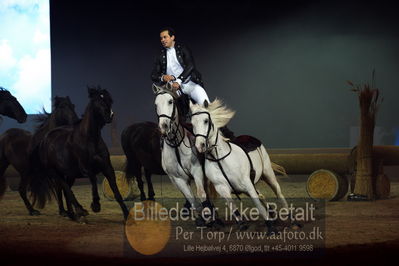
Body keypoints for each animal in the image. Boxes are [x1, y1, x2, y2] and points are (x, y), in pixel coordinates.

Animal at [30, 86, 130, 221]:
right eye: (97, 101)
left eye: (110, 100)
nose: (110, 115)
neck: (90, 139)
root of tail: (45, 139)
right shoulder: (86, 168)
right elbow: (93, 180)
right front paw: (95, 205)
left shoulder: (107, 168)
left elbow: (116, 191)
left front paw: (126, 214)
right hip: (54, 172)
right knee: (64, 188)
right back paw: (79, 210)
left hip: (70, 174)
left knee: (65, 189)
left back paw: (73, 214)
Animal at [189, 98, 290, 232]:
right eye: (192, 124)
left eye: (206, 121)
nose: (199, 145)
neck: (220, 159)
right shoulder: (222, 188)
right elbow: (233, 207)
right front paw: (242, 225)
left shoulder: (248, 184)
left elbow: (257, 204)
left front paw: (271, 228)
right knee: (262, 196)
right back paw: (272, 213)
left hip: (268, 174)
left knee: (278, 194)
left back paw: (291, 219)